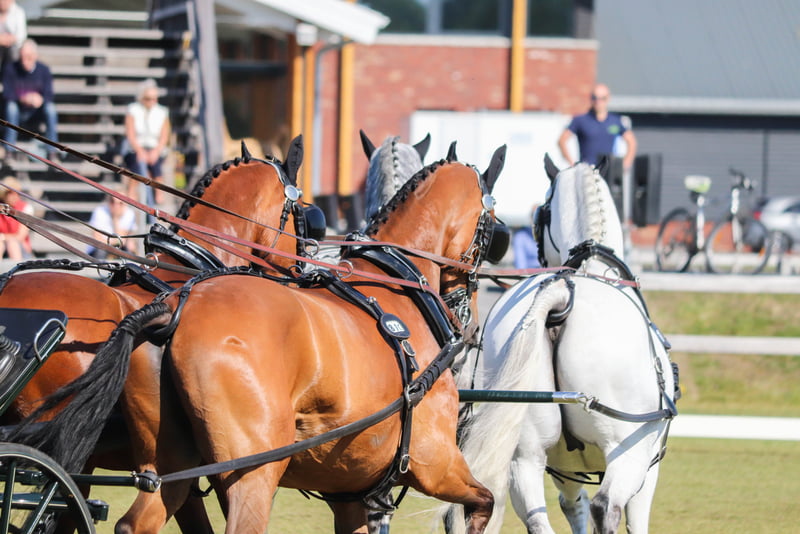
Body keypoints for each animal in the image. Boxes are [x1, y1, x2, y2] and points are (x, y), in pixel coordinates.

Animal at [28, 152, 510, 534]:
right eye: (494, 231)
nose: (469, 319)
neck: (394, 284)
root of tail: (173, 310)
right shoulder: (435, 462)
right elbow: (483, 502)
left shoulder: (352, 492)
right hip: (253, 472)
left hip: (169, 467)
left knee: (133, 522)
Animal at [446, 158, 680, 534]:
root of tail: (561, 295)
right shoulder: (648, 464)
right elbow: (632, 520)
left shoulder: (566, 468)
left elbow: (573, 506)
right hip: (626, 450)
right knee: (605, 507)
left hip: (524, 455)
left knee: (536, 516)